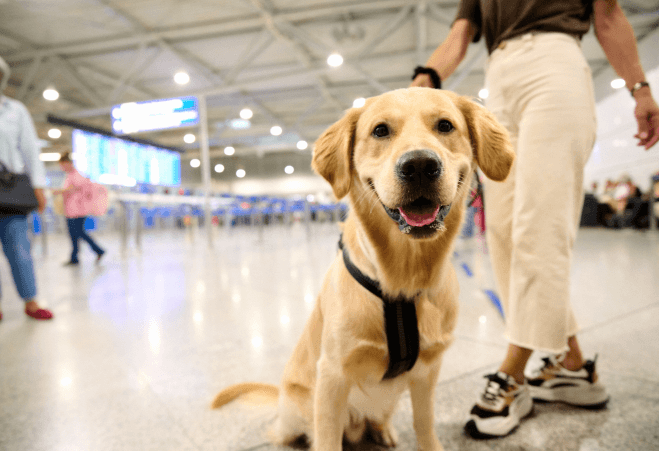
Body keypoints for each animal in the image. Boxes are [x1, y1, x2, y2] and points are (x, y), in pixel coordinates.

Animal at [213, 88, 516, 451]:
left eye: (445, 125)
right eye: (380, 130)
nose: (419, 165)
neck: (401, 277)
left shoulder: (428, 370)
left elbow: (425, 425)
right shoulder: (332, 375)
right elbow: (327, 439)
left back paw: (383, 431)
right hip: (297, 409)